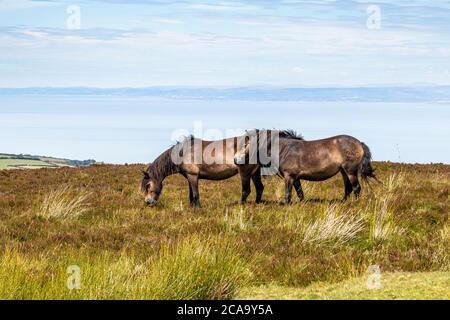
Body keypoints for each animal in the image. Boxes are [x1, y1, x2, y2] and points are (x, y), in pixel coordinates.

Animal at [236, 131, 380, 204]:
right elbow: (300, 192)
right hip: (343, 172)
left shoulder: (289, 176)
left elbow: (288, 193)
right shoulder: (295, 177)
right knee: (348, 189)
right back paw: (343, 203)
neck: (284, 149)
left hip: (350, 171)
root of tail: (359, 143)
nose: (236, 160)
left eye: (246, 145)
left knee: (356, 188)